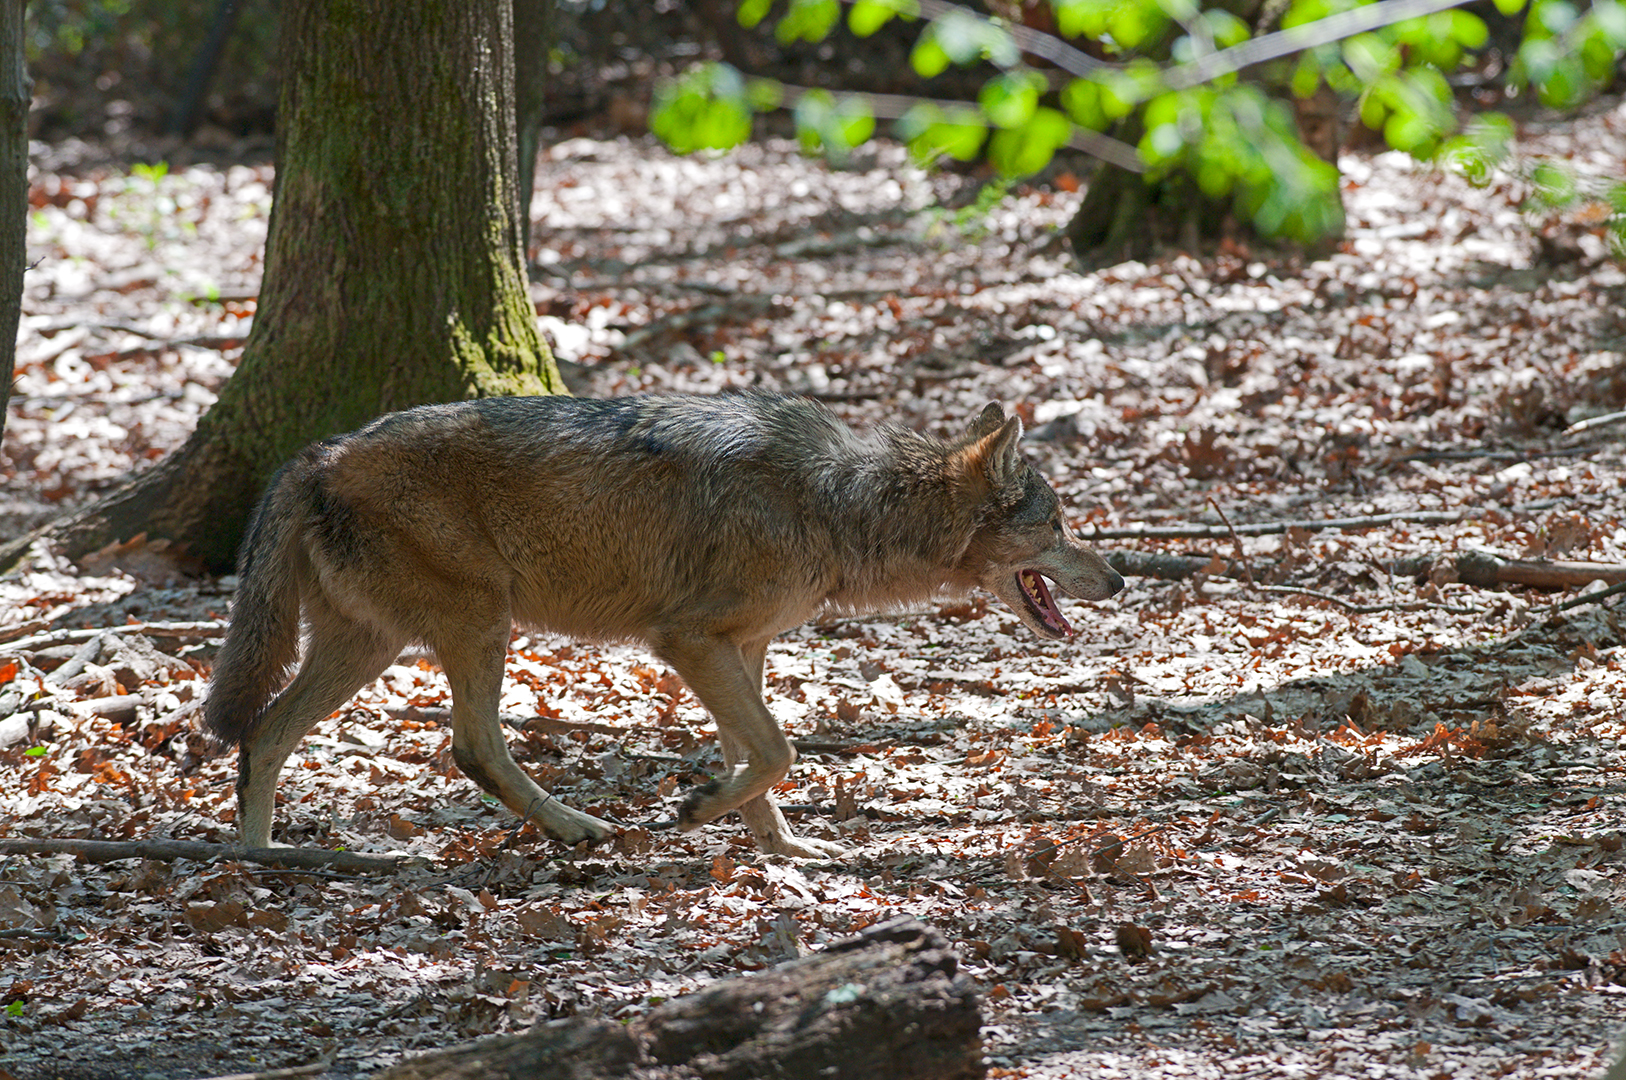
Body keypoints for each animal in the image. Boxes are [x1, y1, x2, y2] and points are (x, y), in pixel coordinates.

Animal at [203, 392, 1124, 858]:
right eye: (1057, 525)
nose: (1118, 577)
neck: (841, 502)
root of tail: (317, 453)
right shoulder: (686, 640)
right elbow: (779, 751)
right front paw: (697, 809)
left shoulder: (742, 647)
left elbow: (758, 756)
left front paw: (783, 850)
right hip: (479, 625)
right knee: (472, 747)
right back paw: (578, 829)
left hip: (375, 644)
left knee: (264, 733)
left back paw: (260, 857)